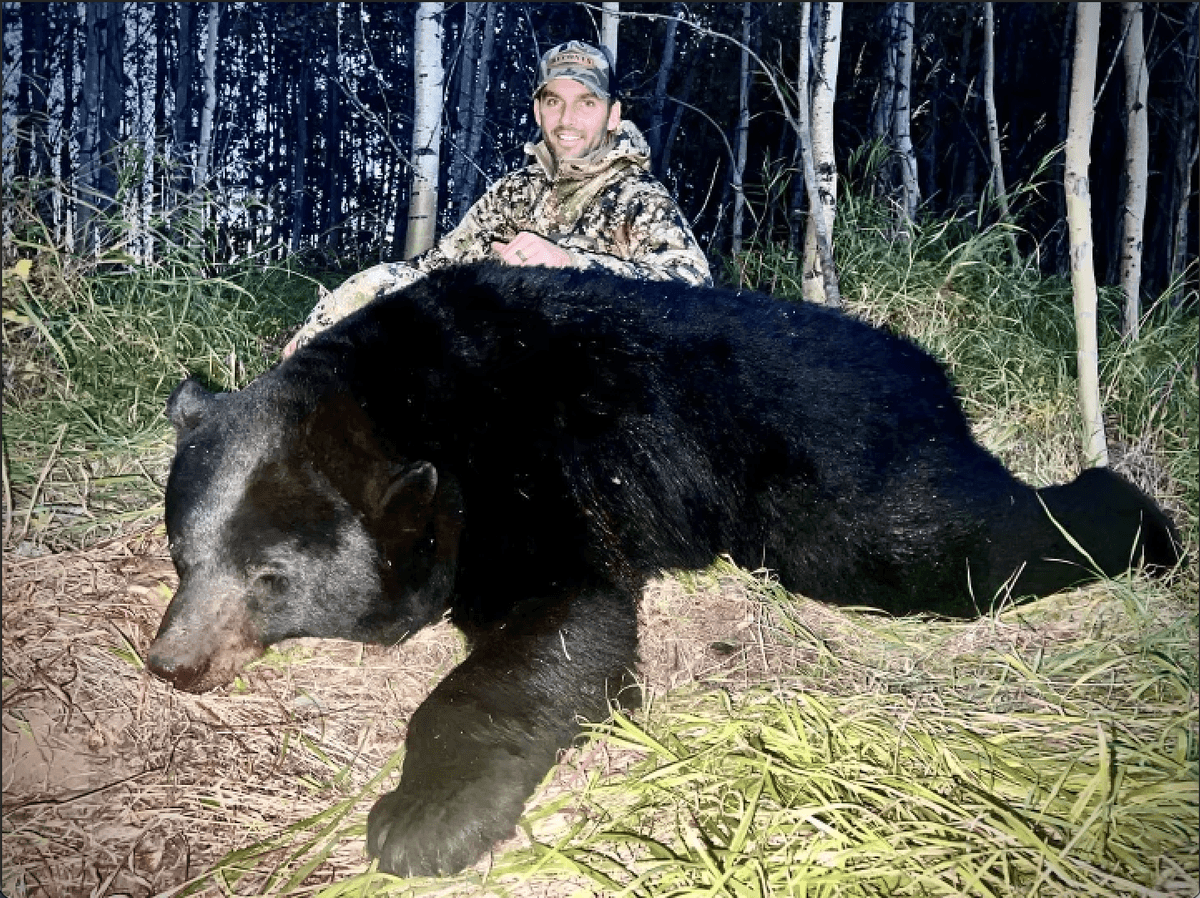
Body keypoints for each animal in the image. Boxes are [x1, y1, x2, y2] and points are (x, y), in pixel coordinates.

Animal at [146, 262, 1181, 877]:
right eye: (184, 553)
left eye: (269, 575)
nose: (171, 663)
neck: (409, 408)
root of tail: (928, 368)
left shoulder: (530, 472)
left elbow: (561, 620)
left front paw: (419, 819)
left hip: (828, 474)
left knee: (943, 544)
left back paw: (1142, 520)